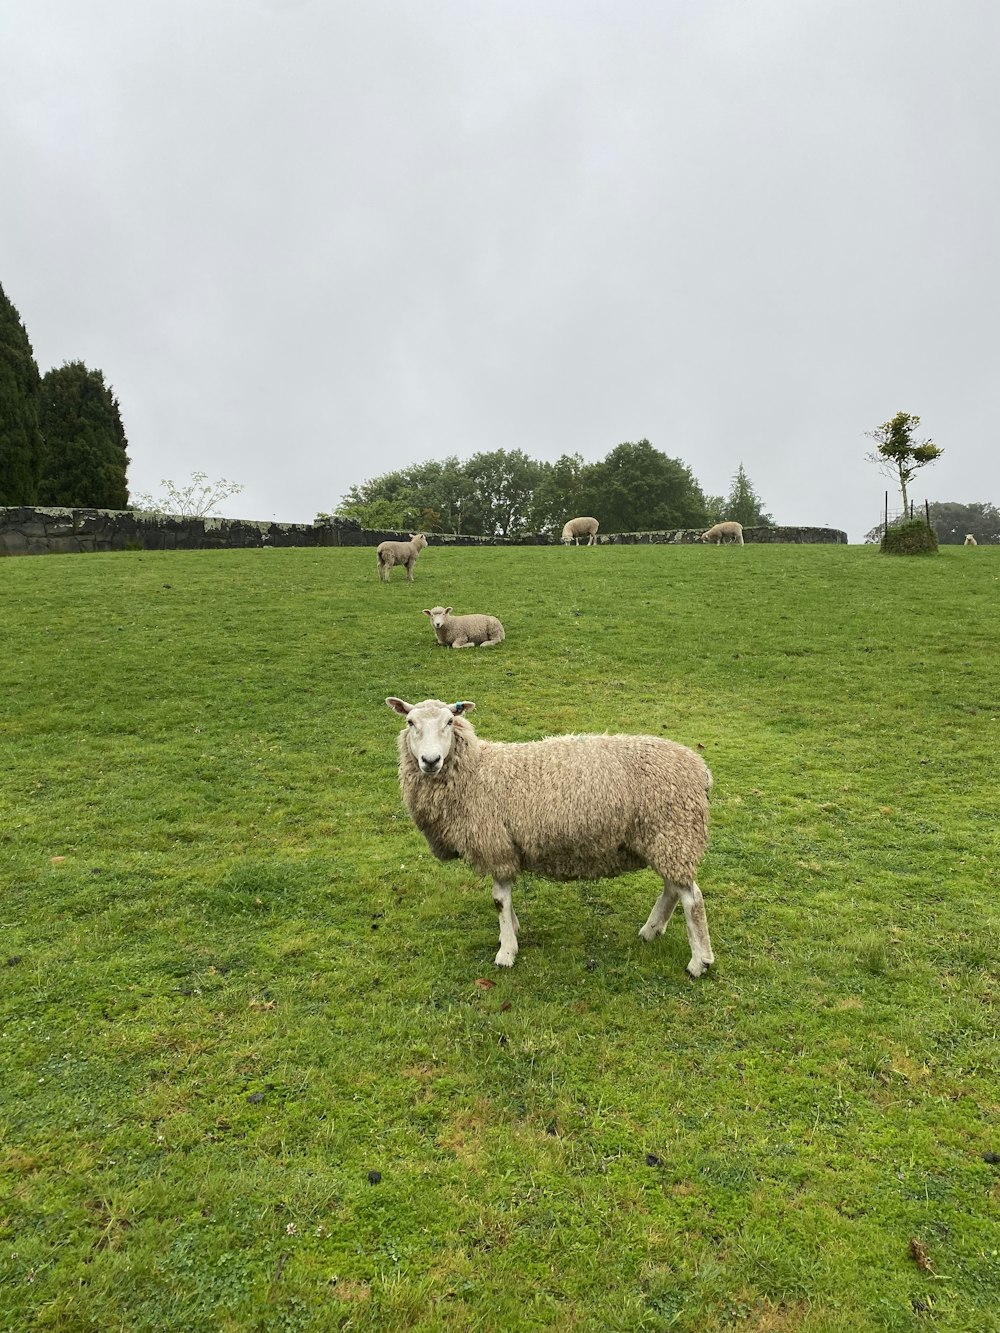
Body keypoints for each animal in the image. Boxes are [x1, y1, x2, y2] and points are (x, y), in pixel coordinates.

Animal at [386, 698, 714, 981]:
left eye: (450, 721)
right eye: (410, 722)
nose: (430, 760)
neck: (475, 772)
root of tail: (700, 769)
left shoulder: (497, 846)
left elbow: (498, 900)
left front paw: (506, 951)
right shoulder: (505, 848)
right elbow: (505, 900)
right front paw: (513, 930)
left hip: (674, 832)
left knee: (692, 899)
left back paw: (699, 962)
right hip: (666, 839)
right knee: (673, 889)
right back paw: (651, 930)